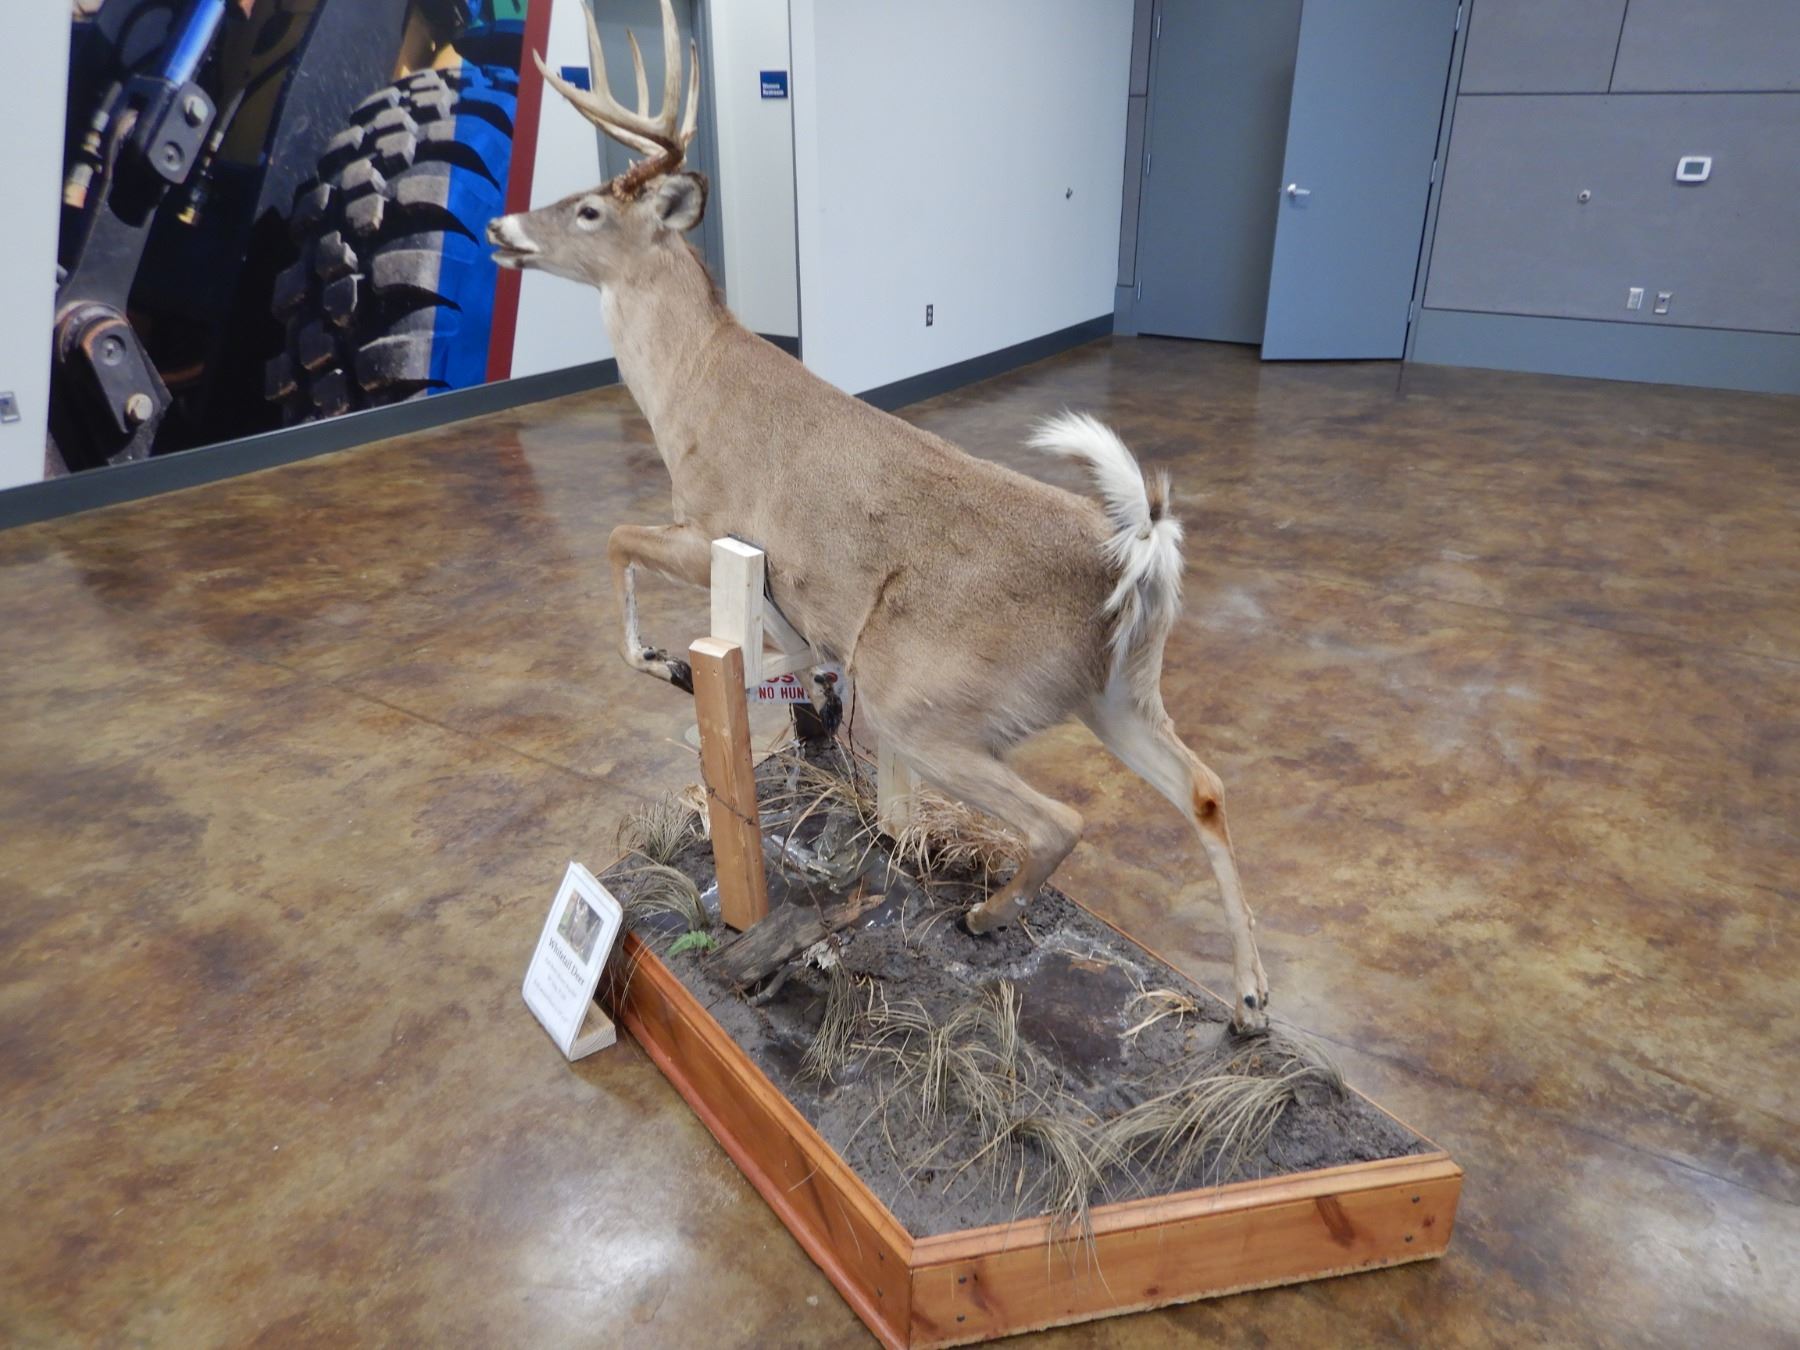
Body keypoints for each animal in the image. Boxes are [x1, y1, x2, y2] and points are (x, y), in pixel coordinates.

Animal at [486, 0, 1271, 1030]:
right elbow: (784, 667)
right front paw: (788, 712)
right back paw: (1250, 999)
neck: (690, 389)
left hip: (928, 696)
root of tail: (1137, 561)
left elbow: (617, 541)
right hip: (1117, 693)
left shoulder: (716, 526)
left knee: (1062, 817)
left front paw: (664, 662)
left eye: (587, 208)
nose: (499, 225)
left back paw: (984, 914)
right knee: (1208, 788)